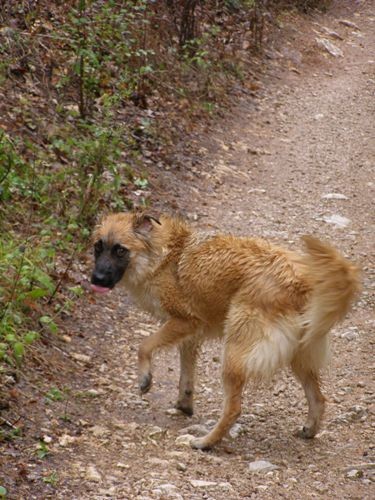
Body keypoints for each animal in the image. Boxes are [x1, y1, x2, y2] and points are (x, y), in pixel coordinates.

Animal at [91, 211, 362, 450]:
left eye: (120, 250)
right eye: (97, 247)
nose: (96, 279)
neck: (163, 255)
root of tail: (298, 282)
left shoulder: (184, 321)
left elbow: (144, 346)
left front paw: (145, 378)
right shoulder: (190, 334)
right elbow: (186, 374)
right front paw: (184, 403)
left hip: (234, 353)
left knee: (233, 409)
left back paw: (206, 442)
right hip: (299, 356)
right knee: (318, 399)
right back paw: (310, 429)